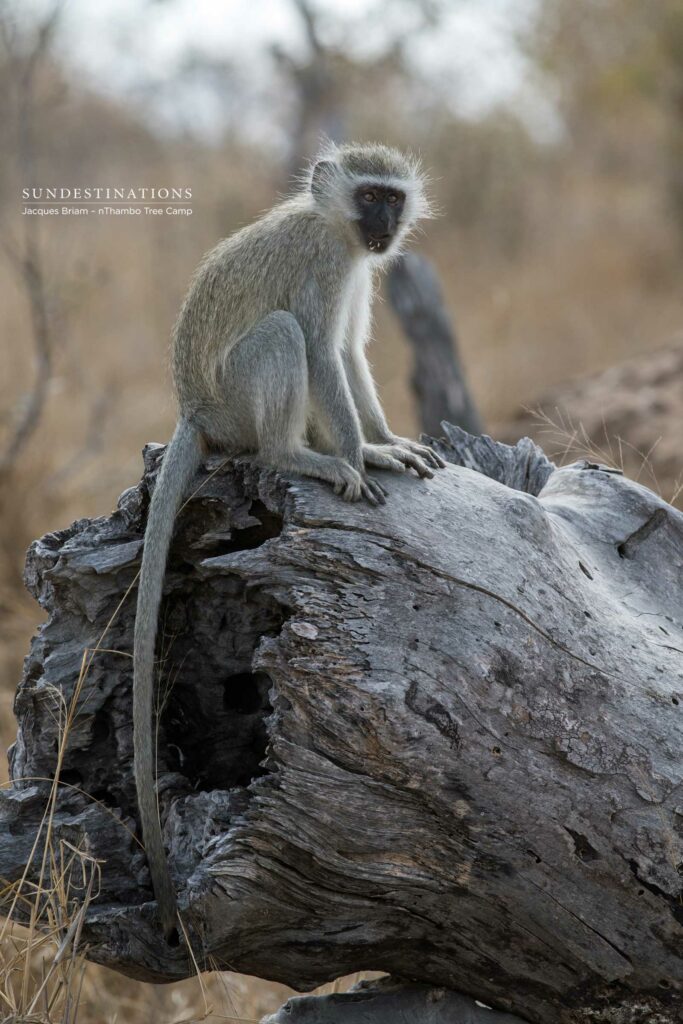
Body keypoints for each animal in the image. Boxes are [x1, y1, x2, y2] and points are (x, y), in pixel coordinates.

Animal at [133, 141, 446, 939]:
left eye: (391, 198)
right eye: (368, 196)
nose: (382, 227)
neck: (333, 225)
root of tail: (193, 411)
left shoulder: (358, 270)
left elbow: (352, 352)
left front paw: (387, 440)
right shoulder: (324, 263)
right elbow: (325, 353)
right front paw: (368, 456)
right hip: (237, 402)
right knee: (283, 337)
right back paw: (301, 455)